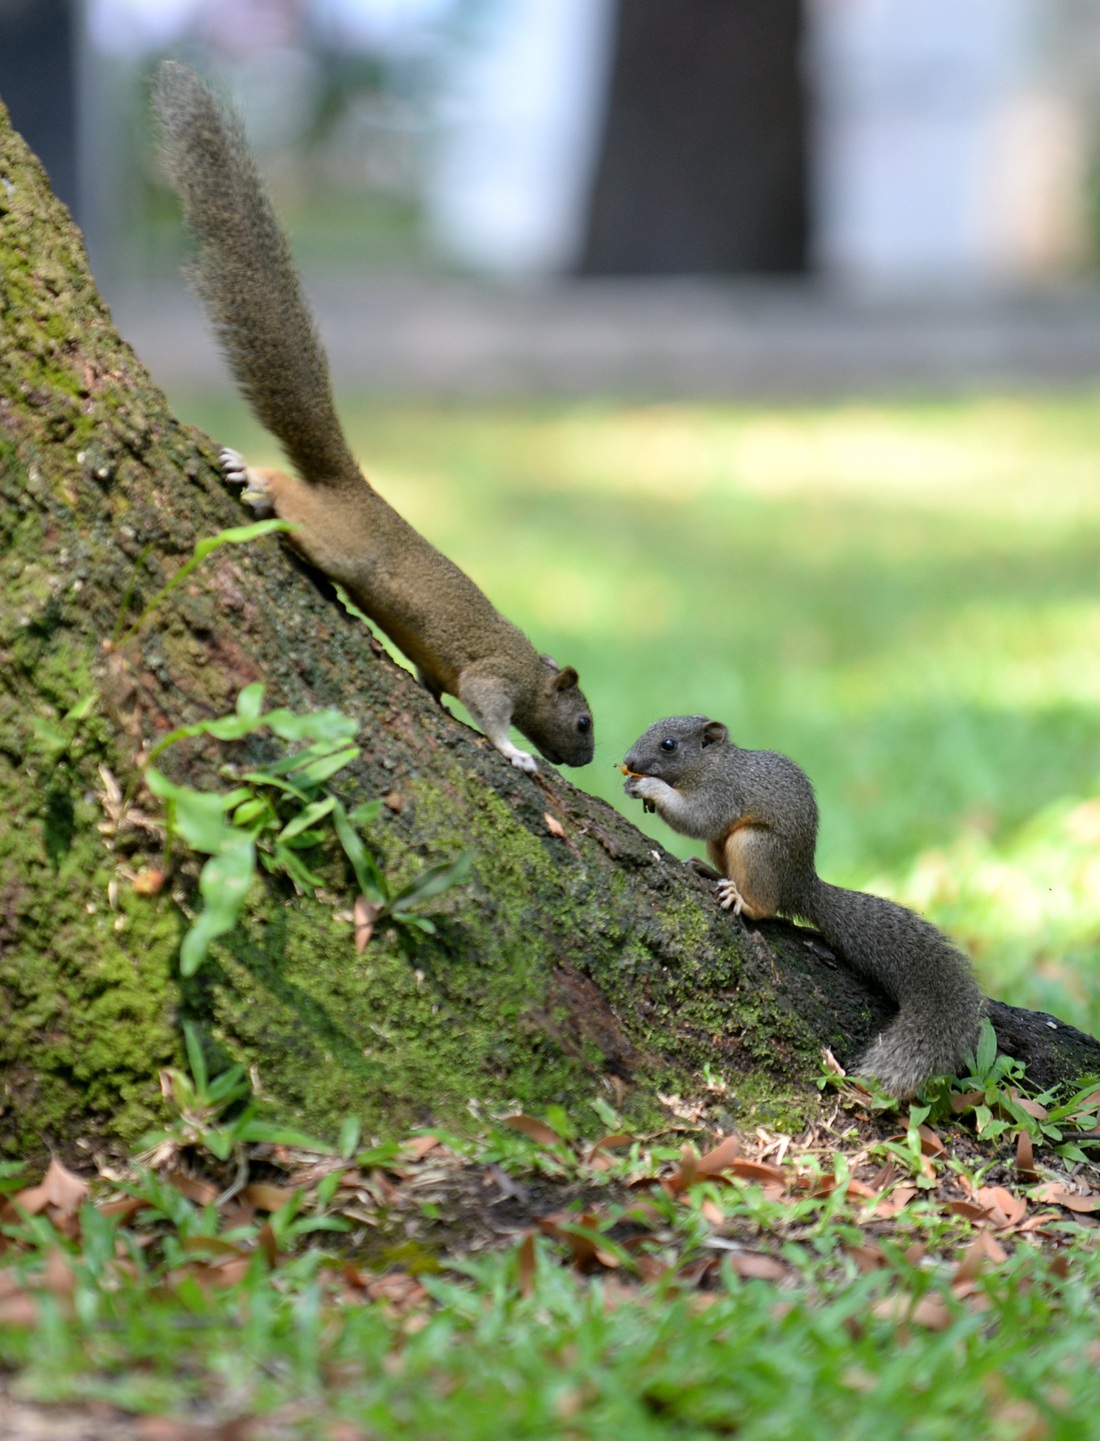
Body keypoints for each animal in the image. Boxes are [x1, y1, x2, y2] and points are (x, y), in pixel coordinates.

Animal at [152, 61, 593, 778]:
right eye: (582, 721)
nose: (586, 759)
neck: (531, 670)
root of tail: (352, 487)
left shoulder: (447, 670)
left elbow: (435, 686)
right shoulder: (494, 674)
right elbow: (488, 709)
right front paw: (517, 753)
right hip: (340, 541)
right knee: (294, 502)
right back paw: (259, 476)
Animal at [622, 714, 986, 1095]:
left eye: (669, 745)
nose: (629, 761)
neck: (712, 765)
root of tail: (801, 885)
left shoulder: (723, 793)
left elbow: (697, 818)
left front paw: (650, 789)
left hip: (754, 846)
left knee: (766, 905)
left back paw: (744, 901)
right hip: (721, 845)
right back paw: (708, 871)